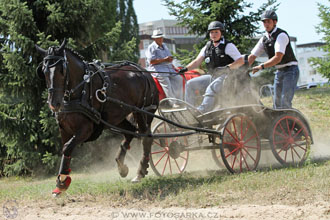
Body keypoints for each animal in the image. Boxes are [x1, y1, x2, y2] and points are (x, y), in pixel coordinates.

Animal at [35, 39, 159, 196]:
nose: (54, 103)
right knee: (130, 132)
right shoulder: (64, 128)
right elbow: (65, 149)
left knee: (146, 137)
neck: (80, 90)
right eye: (44, 71)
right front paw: (61, 181)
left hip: (143, 112)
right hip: (116, 118)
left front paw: (62, 182)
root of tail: (145, 73)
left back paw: (141, 171)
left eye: (62, 70)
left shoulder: (86, 129)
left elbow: (67, 147)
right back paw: (121, 166)